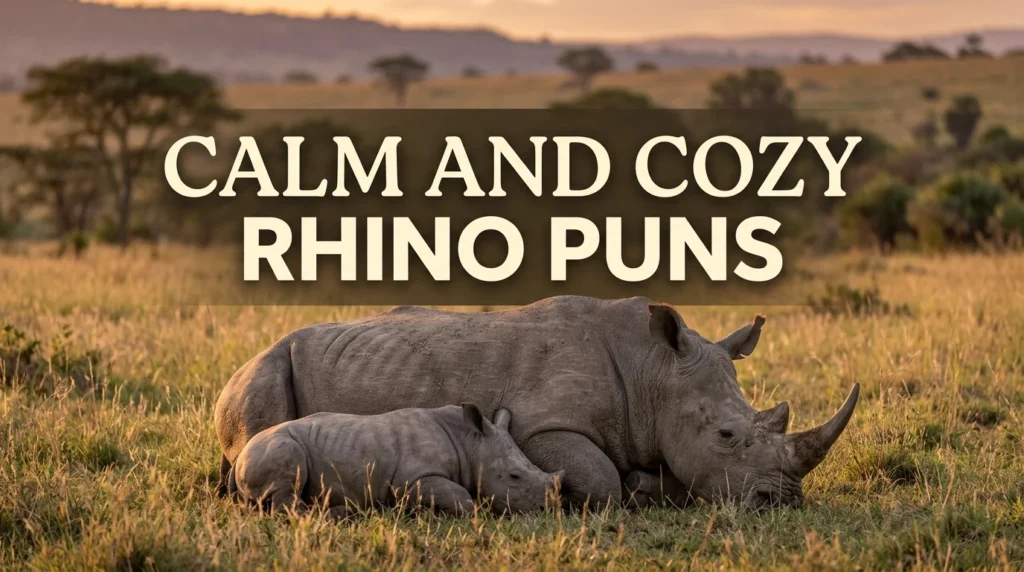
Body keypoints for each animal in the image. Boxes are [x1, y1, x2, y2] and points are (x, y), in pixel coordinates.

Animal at [227, 404, 560, 516]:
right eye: (514, 477)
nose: (548, 507)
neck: (470, 442)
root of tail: (239, 456)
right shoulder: (412, 480)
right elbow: (463, 498)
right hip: (275, 445)